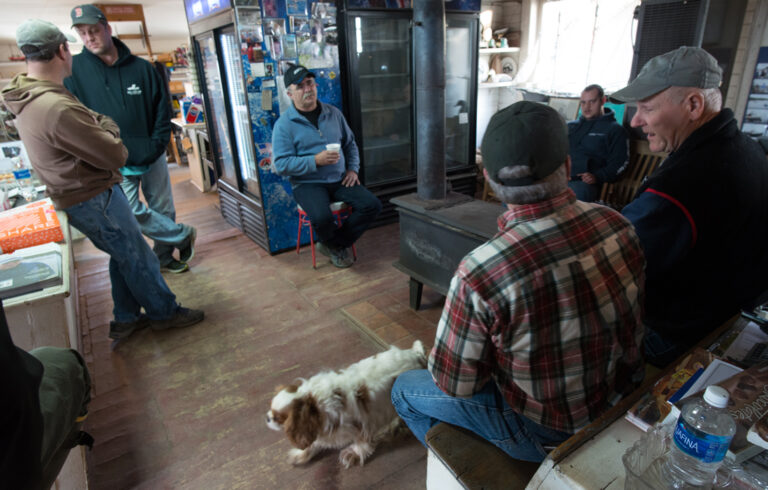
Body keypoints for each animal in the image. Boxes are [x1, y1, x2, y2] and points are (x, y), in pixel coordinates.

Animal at [266, 340, 426, 468]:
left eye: (278, 418)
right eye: (270, 408)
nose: (267, 418)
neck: (314, 403)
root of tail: (416, 355)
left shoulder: (364, 422)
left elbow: (362, 443)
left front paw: (352, 454)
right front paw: (302, 453)